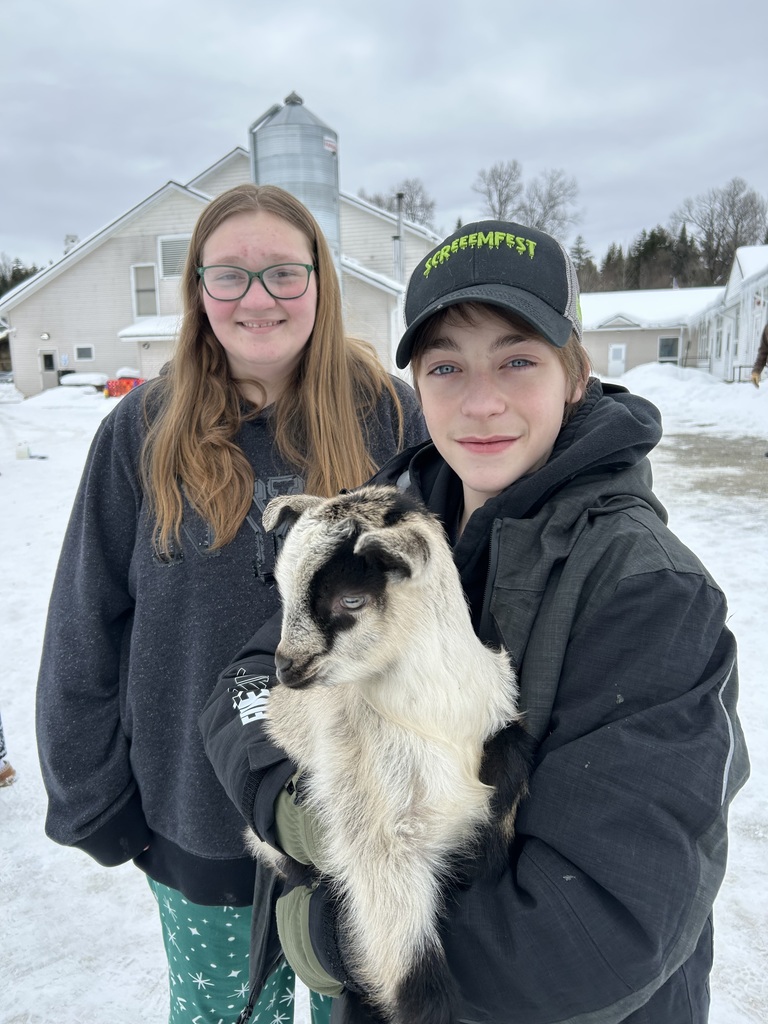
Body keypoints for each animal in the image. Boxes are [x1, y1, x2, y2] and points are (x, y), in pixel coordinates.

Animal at [249, 484, 531, 1024]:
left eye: (351, 599)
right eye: (282, 593)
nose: (286, 668)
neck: (435, 715)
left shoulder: (495, 724)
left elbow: (510, 759)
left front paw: (481, 856)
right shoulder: (376, 831)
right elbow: (413, 980)